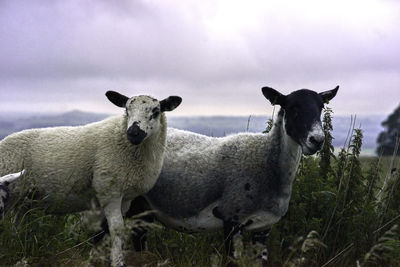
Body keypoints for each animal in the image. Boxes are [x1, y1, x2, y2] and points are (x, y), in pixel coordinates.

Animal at [0, 91, 182, 266]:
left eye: (156, 111)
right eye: (126, 110)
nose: (133, 133)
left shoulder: (125, 198)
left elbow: (111, 229)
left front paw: (104, 255)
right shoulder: (109, 191)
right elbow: (117, 228)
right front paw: (117, 261)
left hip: (23, 199)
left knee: (17, 223)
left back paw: (17, 244)